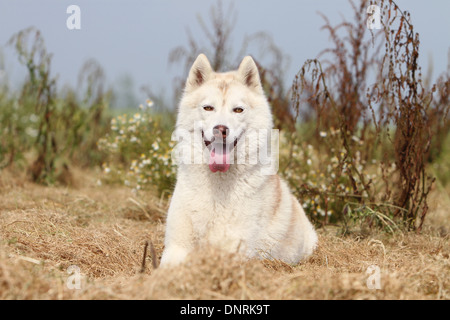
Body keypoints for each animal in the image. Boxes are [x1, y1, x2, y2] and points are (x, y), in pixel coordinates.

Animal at [160, 53, 318, 266]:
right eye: (208, 108)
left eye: (238, 110)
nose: (221, 129)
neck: (217, 189)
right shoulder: (176, 247)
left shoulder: (234, 250)